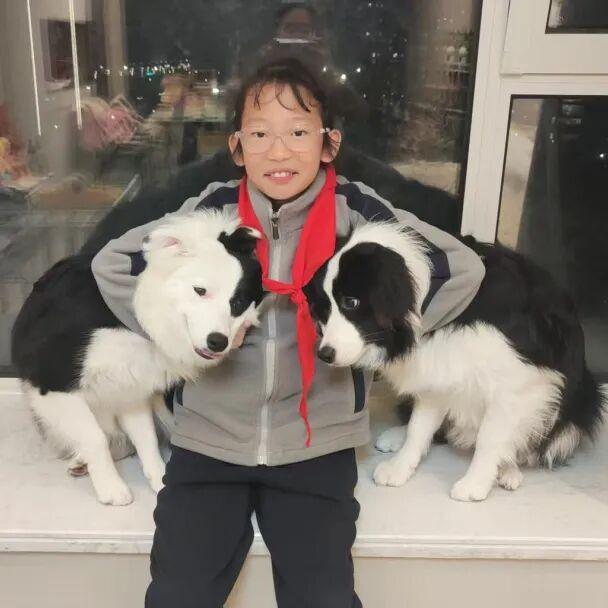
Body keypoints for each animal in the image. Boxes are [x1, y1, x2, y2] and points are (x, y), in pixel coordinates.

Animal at [11, 209, 263, 505]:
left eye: (238, 302)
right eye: (200, 291)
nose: (218, 341)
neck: (139, 316)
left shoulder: (131, 387)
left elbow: (147, 438)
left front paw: (160, 478)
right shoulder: (51, 382)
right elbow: (94, 437)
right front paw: (111, 488)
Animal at [304, 222, 605, 501]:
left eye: (351, 302)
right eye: (324, 308)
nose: (324, 354)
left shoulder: (518, 381)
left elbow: (490, 437)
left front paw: (476, 483)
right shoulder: (439, 366)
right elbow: (419, 428)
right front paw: (400, 467)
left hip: (577, 407)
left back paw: (508, 470)